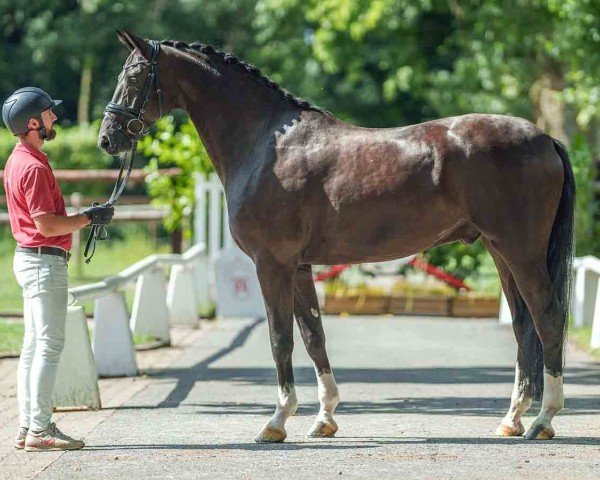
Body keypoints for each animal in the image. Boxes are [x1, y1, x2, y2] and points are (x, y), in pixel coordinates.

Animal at [99, 31, 576, 442]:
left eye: (135, 77)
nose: (107, 138)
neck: (267, 145)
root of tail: (545, 138)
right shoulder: (300, 267)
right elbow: (313, 336)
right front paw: (324, 418)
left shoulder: (272, 265)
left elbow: (280, 338)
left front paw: (276, 422)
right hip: (500, 252)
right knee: (523, 326)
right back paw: (512, 420)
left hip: (521, 252)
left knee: (548, 319)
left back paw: (543, 421)